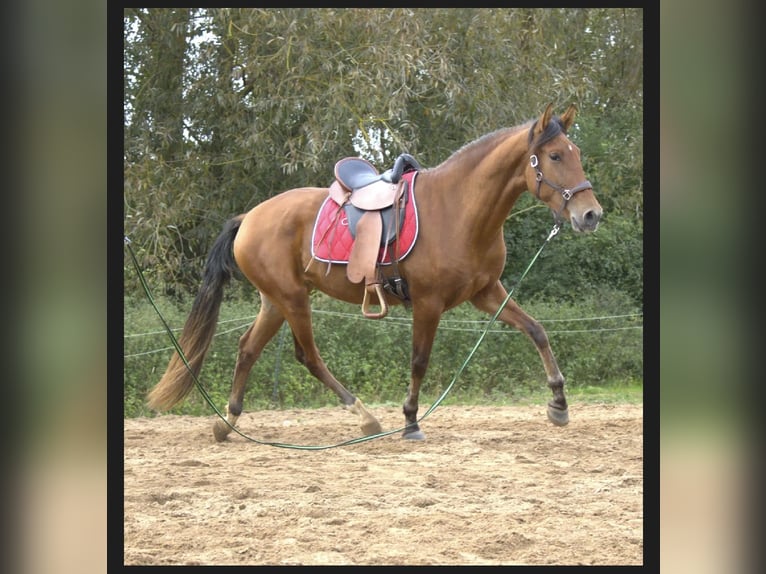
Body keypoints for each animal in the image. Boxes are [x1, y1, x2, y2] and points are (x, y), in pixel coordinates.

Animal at [147, 103, 608, 444]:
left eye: (577, 154)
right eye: (554, 156)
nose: (591, 215)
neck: (458, 209)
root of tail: (250, 217)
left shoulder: (487, 293)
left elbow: (536, 330)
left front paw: (559, 403)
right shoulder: (428, 303)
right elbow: (419, 360)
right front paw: (411, 420)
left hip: (276, 301)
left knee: (247, 349)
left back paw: (227, 422)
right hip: (292, 299)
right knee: (307, 356)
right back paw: (364, 416)